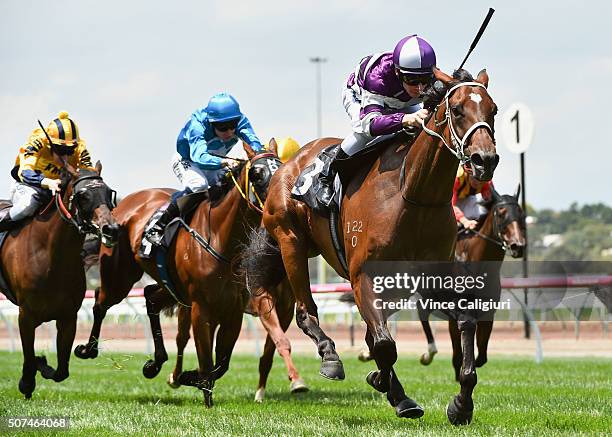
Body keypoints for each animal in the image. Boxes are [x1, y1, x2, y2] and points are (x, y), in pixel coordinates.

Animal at [0, 161, 118, 398]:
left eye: (108, 192)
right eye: (83, 195)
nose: (111, 229)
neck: (51, 256)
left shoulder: (68, 316)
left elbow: (62, 371)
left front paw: (43, 363)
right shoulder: (26, 315)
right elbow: (28, 356)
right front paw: (27, 382)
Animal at [74, 142, 282, 406]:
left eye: (281, 168)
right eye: (257, 173)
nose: (277, 203)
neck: (221, 238)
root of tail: (124, 205)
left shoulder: (233, 309)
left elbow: (221, 364)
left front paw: (185, 376)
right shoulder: (200, 307)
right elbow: (207, 362)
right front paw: (201, 393)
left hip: (171, 286)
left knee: (150, 297)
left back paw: (154, 363)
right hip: (120, 278)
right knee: (100, 302)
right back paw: (87, 349)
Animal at [244, 69, 498, 422]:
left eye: (493, 110)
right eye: (458, 110)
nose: (484, 160)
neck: (412, 194)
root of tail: (287, 164)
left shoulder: (433, 278)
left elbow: (465, 324)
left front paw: (460, 404)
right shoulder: (363, 276)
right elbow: (384, 345)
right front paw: (387, 384)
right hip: (290, 241)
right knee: (306, 312)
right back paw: (332, 357)